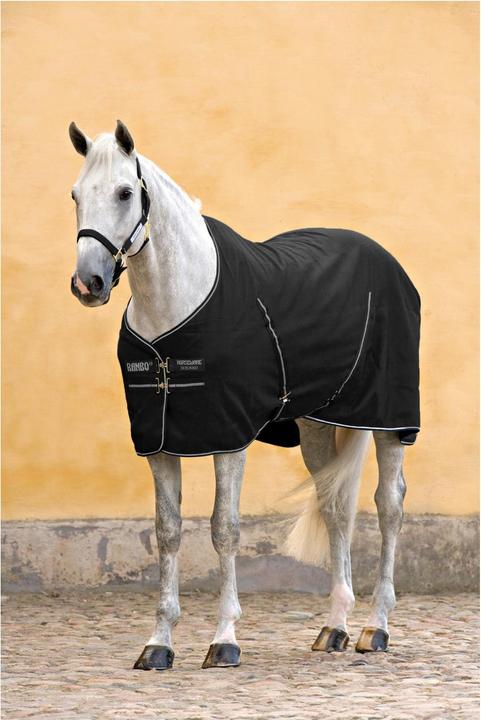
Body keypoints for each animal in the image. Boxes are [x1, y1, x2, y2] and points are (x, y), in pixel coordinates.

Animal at [69, 120, 420, 670]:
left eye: (125, 192)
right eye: (76, 195)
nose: (89, 283)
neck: (175, 307)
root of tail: (383, 257)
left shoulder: (229, 437)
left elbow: (224, 528)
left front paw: (224, 638)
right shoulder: (158, 442)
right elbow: (167, 532)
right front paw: (159, 644)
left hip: (388, 420)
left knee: (389, 505)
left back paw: (376, 627)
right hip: (317, 426)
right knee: (336, 506)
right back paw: (334, 628)